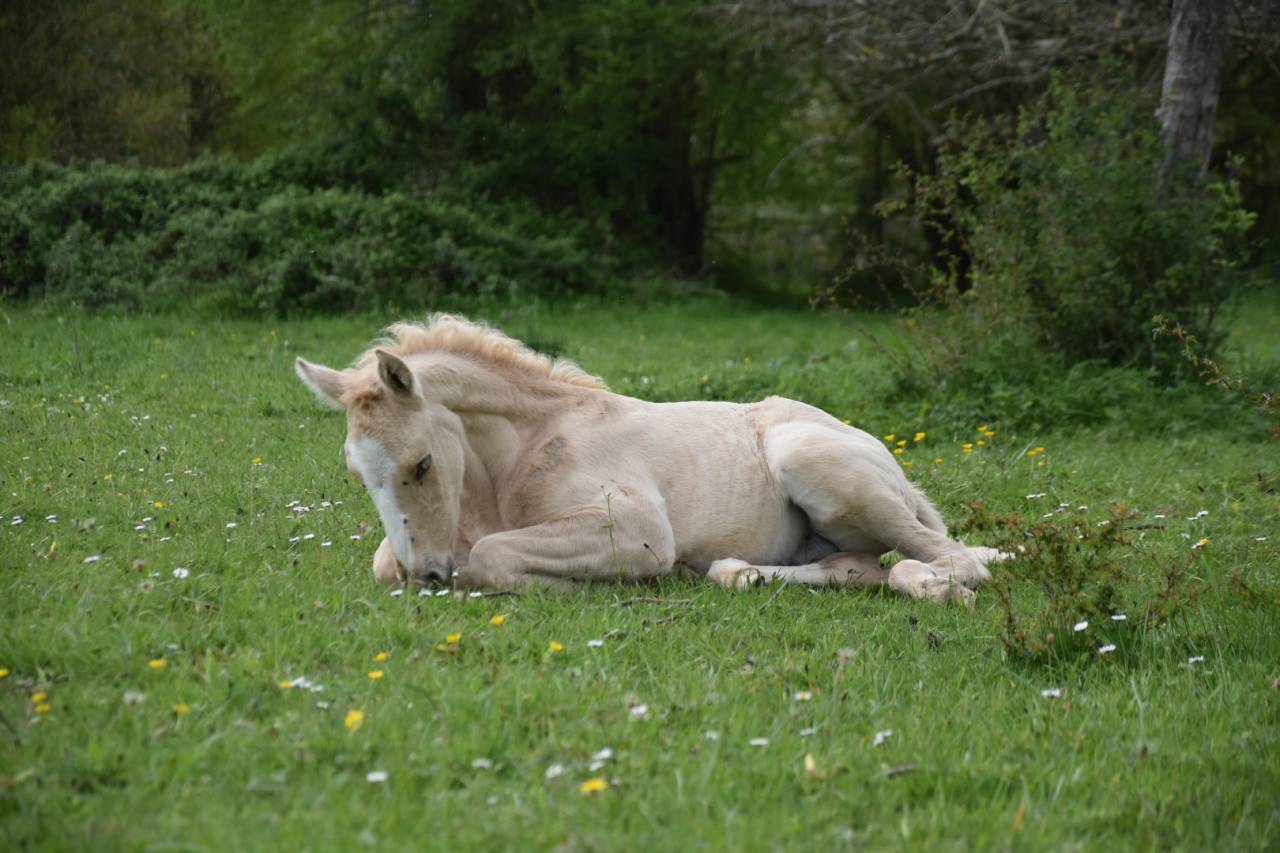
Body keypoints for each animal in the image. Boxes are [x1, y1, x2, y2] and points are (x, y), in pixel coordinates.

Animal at [294, 314, 1005, 604]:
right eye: (360, 475)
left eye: (420, 464)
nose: (431, 576)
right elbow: (384, 562)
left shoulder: (635, 529)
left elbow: (491, 557)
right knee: (853, 568)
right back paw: (736, 574)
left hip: (816, 466)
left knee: (953, 560)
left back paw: (936, 587)